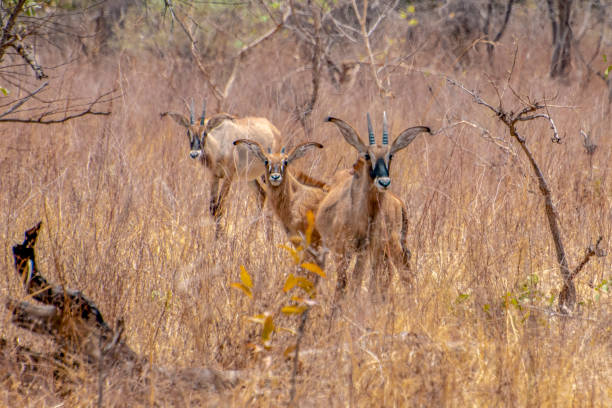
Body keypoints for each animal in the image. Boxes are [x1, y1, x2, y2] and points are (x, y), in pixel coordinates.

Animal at [160, 100, 280, 237]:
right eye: (188, 132)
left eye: (204, 133)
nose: (194, 153)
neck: (219, 145)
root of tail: (274, 130)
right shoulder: (214, 176)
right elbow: (213, 208)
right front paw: (218, 236)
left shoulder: (228, 177)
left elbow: (220, 207)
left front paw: (220, 238)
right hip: (250, 177)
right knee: (261, 195)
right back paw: (251, 234)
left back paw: (268, 237)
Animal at [316, 113, 430, 302]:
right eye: (368, 155)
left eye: (390, 155)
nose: (384, 182)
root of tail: (398, 202)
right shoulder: (344, 251)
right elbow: (344, 282)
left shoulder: (364, 250)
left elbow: (354, 281)